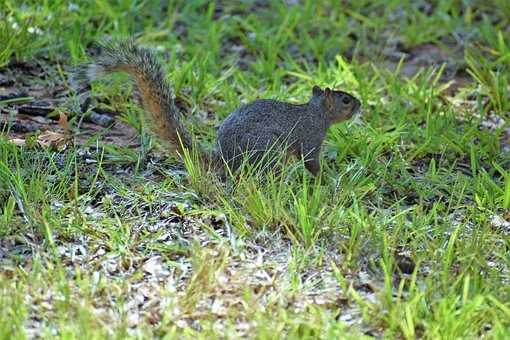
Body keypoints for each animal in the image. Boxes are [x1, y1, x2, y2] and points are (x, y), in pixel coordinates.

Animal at [71, 40, 360, 175]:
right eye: (345, 100)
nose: (359, 105)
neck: (317, 112)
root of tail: (225, 159)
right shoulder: (311, 135)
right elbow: (311, 161)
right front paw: (325, 179)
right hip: (266, 148)